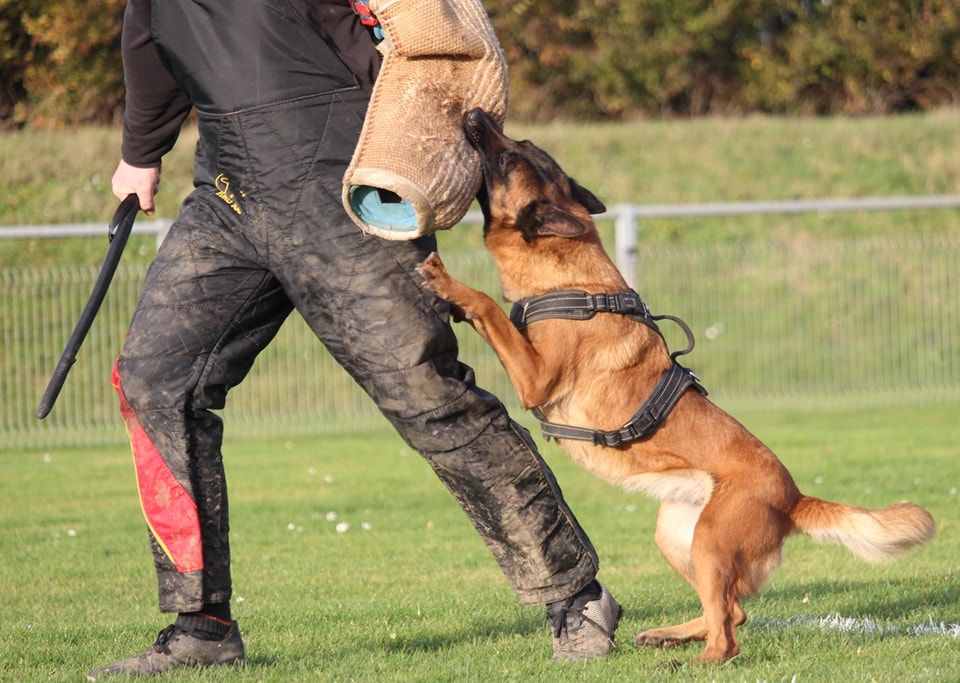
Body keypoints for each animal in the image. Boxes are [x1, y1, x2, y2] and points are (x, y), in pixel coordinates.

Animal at [416, 109, 932, 664]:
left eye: (508, 158)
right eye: (519, 144)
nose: (476, 115)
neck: (568, 277)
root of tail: (793, 498)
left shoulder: (535, 378)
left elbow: (489, 305)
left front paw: (449, 282)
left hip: (709, 542)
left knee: (729, 632)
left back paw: (696, 660)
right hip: (675, 536)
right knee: (730, 610)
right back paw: (668, 635)